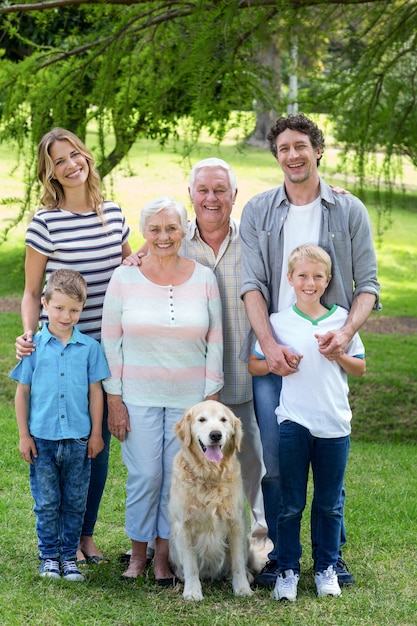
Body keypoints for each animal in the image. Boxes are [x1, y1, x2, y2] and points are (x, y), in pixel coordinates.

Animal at [168, 400, 254, 600]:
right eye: (201, 419)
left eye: (223, 420)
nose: (216, 434)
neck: (210, 475)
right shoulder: (184, 526)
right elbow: (191, 564)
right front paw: (192, 591)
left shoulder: (236, 523)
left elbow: (238, 563)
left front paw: (242, 588)